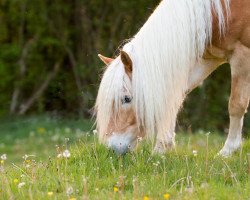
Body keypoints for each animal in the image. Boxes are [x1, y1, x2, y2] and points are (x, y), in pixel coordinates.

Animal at [94, 0, 249, 156]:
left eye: (126, 99)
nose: (111, 149)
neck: (218, 11)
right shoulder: (210, 59)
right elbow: (172, 99)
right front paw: (161, 149)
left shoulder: (242, 55)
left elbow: (236, 105)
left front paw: (228, 151)